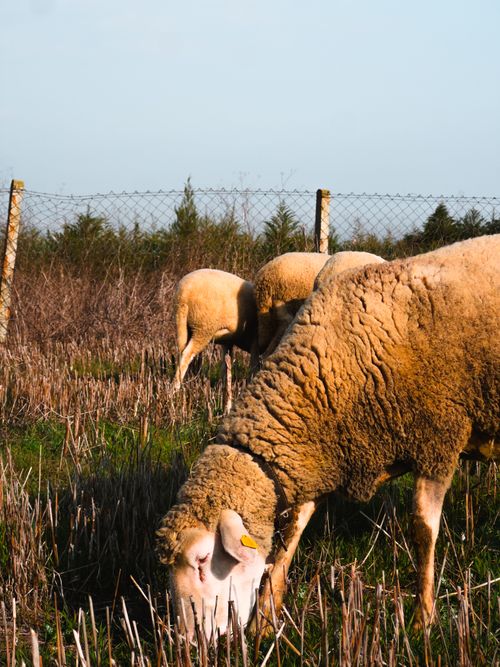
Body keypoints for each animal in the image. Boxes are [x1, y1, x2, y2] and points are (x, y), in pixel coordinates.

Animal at [172, 269, 258, 412]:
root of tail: (183, 294)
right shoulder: (256, 343)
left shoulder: (228, 342)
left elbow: (226, 370)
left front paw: (227, 406)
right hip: (203, 328)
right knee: (186, 355)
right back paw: (172, 394)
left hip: (185, 327)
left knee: (181, 352)